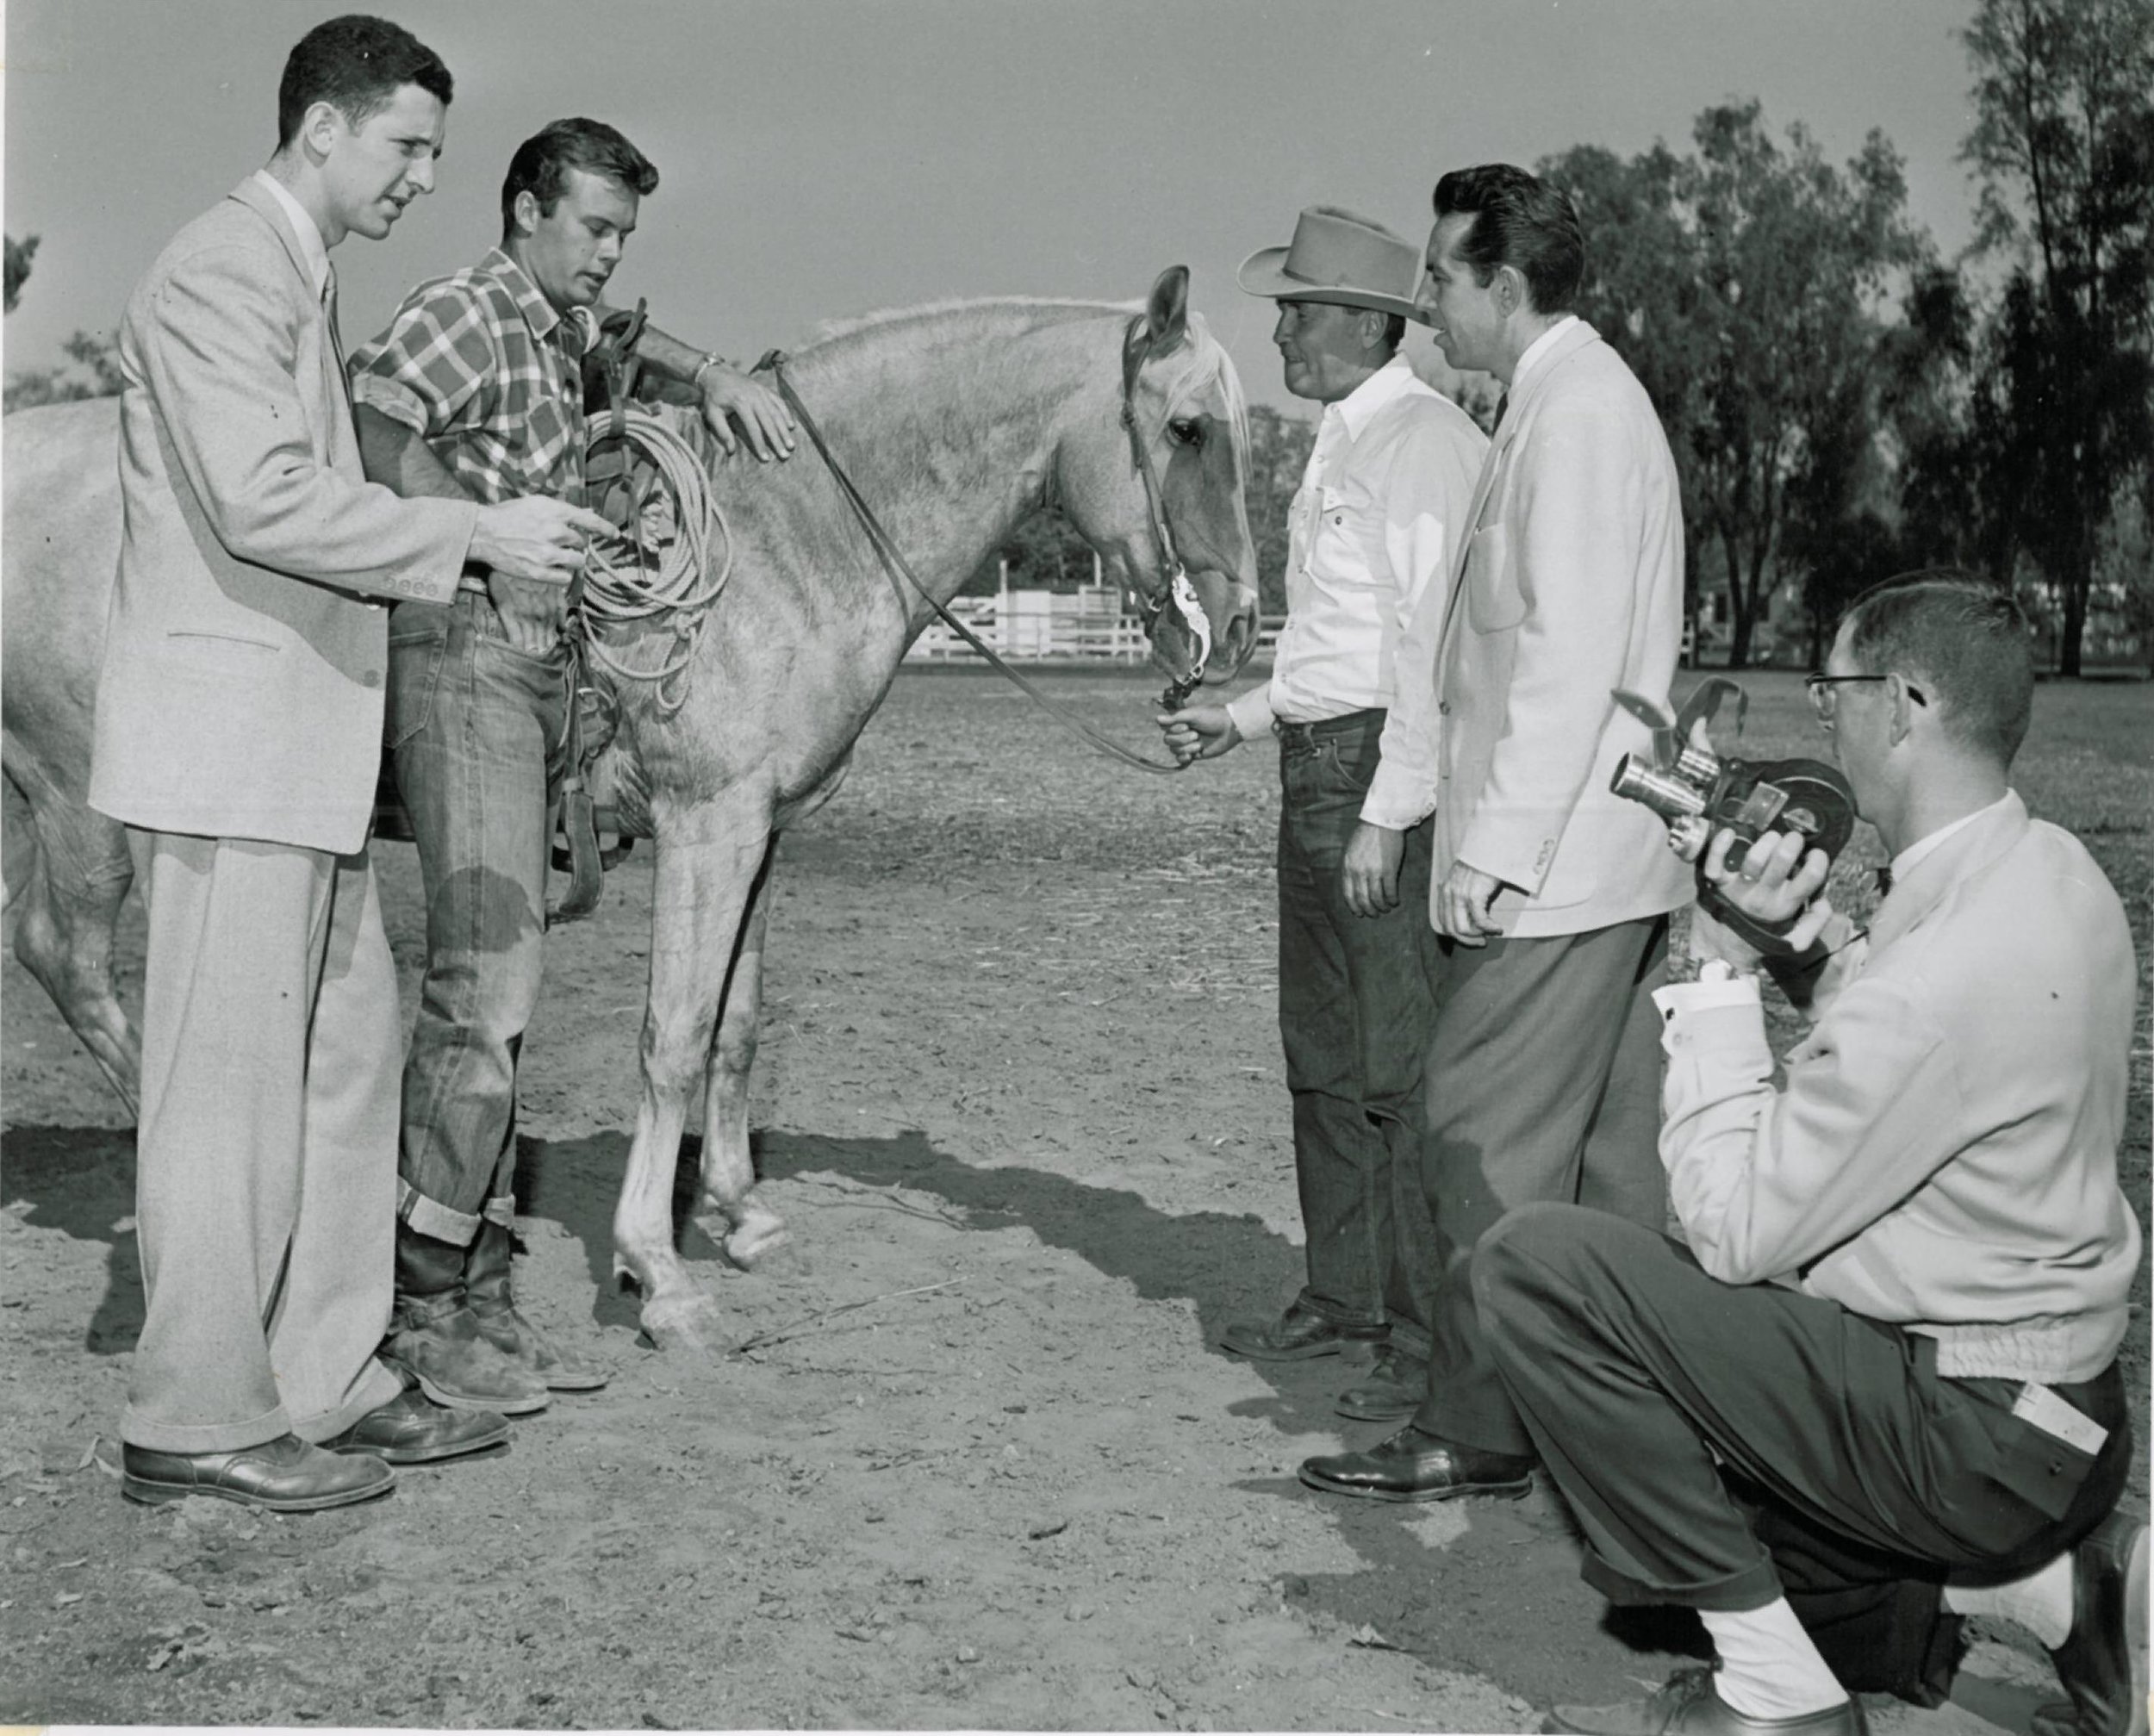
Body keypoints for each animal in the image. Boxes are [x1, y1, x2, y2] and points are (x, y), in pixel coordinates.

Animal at [0, 268, 1258, 1361]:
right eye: (1190, 428)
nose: (1241, 624)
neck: (784, 540)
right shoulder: (706, 826)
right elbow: (672, 1037)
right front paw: (660, 1271)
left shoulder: (764, 829)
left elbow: (736, 1028)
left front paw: (741, 1214)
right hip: (82, 805)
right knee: (72, 956)